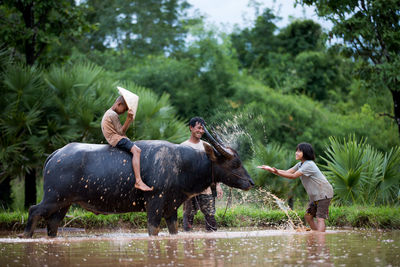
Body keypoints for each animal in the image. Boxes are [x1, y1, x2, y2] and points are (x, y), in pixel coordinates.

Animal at [21, 130, 253, 239]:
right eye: (235, 163)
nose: (250, 182)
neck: (181, 164)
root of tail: (56, 154)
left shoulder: (171, 208)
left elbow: (174, 231)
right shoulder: (154, 203)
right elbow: (153, 230)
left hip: (64, 202)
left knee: (53, 224)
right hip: (53, 197)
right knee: (34, 211)